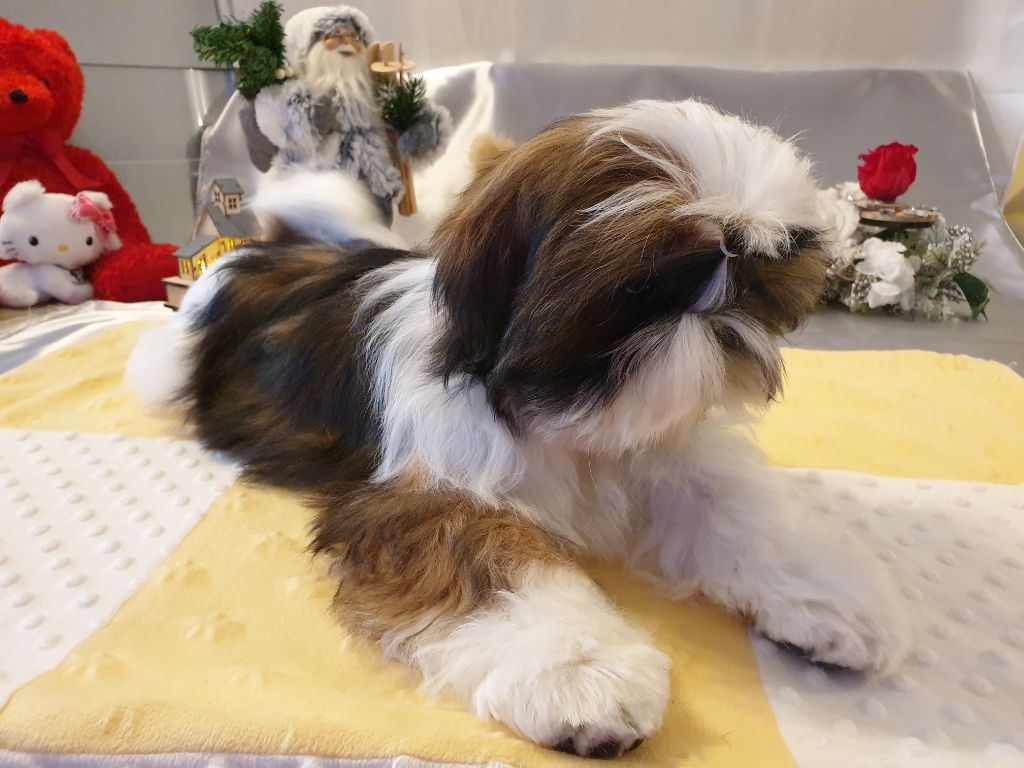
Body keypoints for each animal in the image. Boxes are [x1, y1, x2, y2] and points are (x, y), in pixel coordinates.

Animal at [129, 99, 909, 758]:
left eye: (753, 279)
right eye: (646, 286)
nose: (723, 322)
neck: (570, 418)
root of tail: (265, 250)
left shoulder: (667, 463)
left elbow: (740, 517)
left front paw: (829, 596)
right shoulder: (429, 495)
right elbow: (497, 560)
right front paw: (582, 669)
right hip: (171, 365)